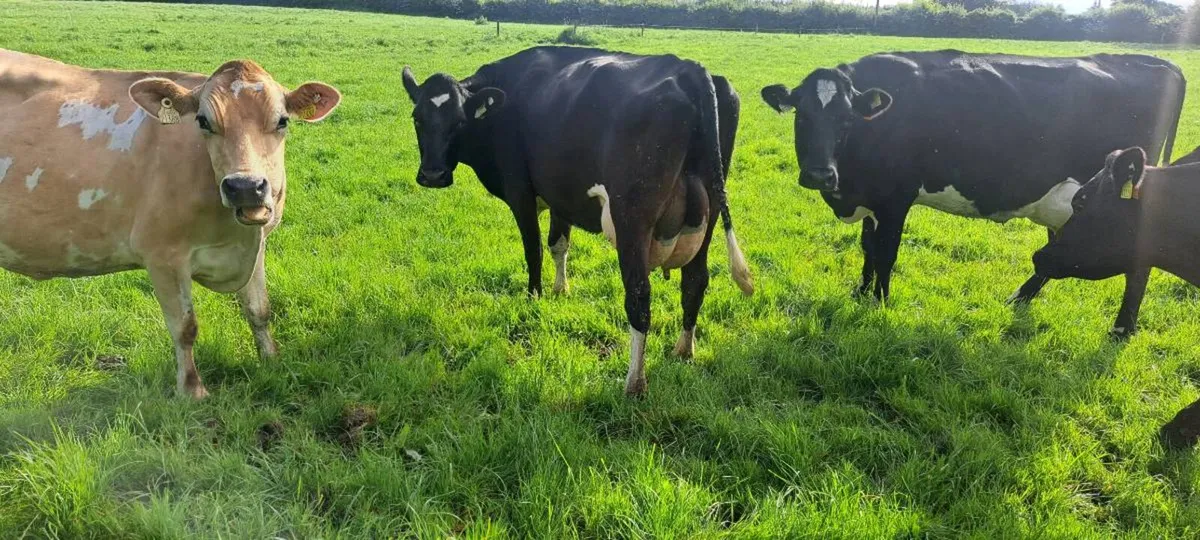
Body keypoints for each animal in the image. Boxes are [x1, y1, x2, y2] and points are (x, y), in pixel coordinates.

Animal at [0, 49, 340, 398]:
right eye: (203, 121)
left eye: (282, 121)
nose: (245, 186)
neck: (234, 237)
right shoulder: (162, 254)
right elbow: (185, 327)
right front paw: (192, 390)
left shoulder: (256, 245)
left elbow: (259, 310)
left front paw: (272, 361)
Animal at [401, 46, 753, 396]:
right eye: (417, 118)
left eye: (459, 121)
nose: (433, 175)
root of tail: (688, 68)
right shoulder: (561, 196)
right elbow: (558, 244)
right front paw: (561, 290)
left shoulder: (520, 191)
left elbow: (533, 251)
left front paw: (534, 298)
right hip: (709, 213)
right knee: (695, 281)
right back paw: (683, 350)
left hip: (631, 219)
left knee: (639, 296)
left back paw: (634, 383)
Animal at [760, 50, 1184, 308]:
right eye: (801, 115)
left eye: (847, 119)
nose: (819, 174)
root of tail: (1156, 62)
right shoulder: (873, 198)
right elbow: (867, 248)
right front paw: (861, 293)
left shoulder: (896, 199)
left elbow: (885, 253)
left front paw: (879, 303)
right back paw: (1020, 299)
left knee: (1136, 268)